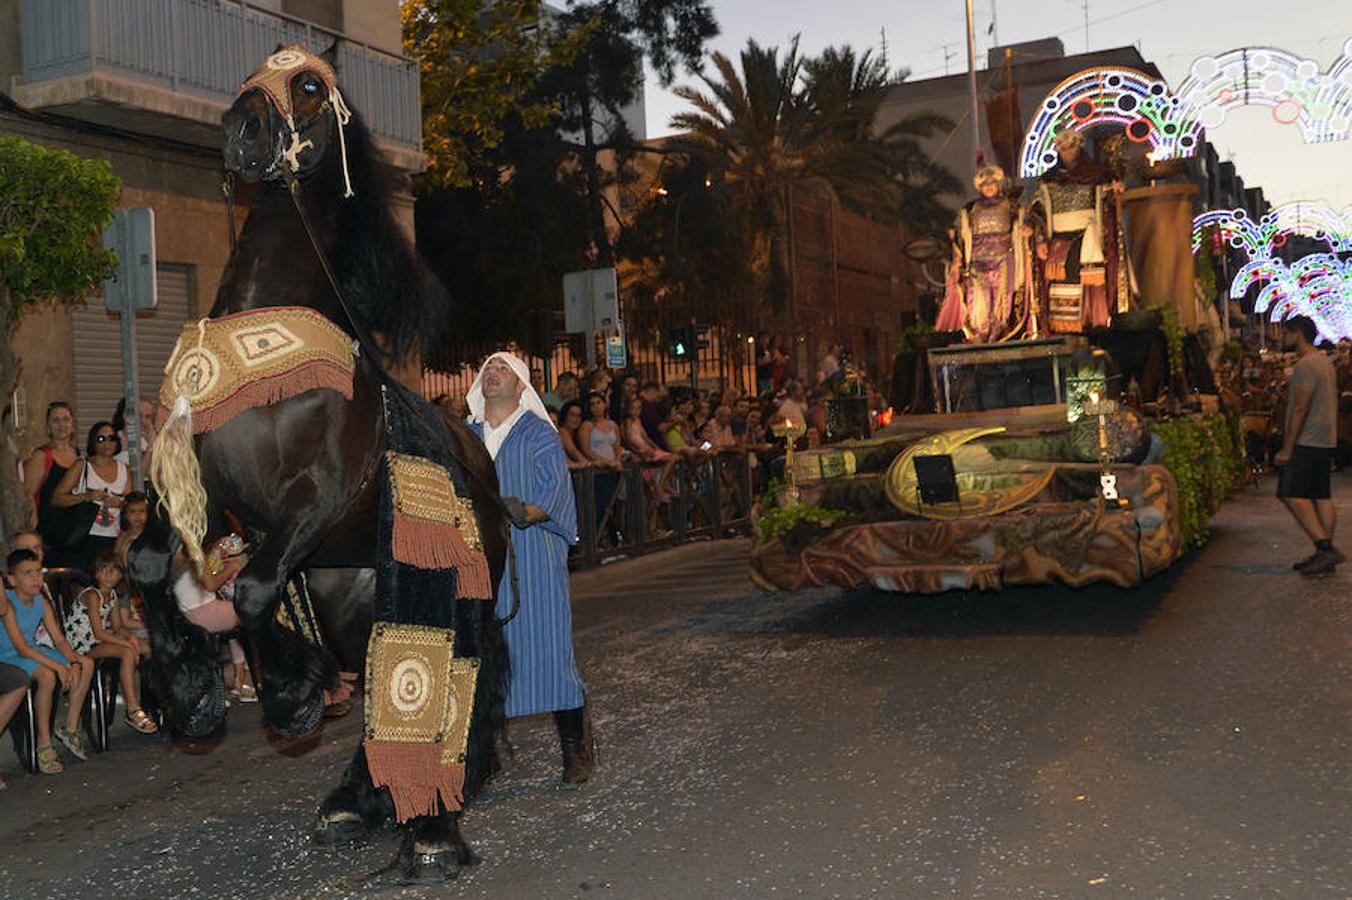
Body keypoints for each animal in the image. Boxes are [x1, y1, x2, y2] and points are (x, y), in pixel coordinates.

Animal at [129, 45, 508, 881]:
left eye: (306, 85)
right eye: (250, 74)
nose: (241, 128)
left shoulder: (317, 498)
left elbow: (250, 589)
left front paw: (291, 697)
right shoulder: (202, 493)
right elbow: (150, 568)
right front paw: (193, 693)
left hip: (446, 591)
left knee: (456, 682)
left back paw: (433, 827)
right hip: (349, 599)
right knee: (374, 680)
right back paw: (356, 803)